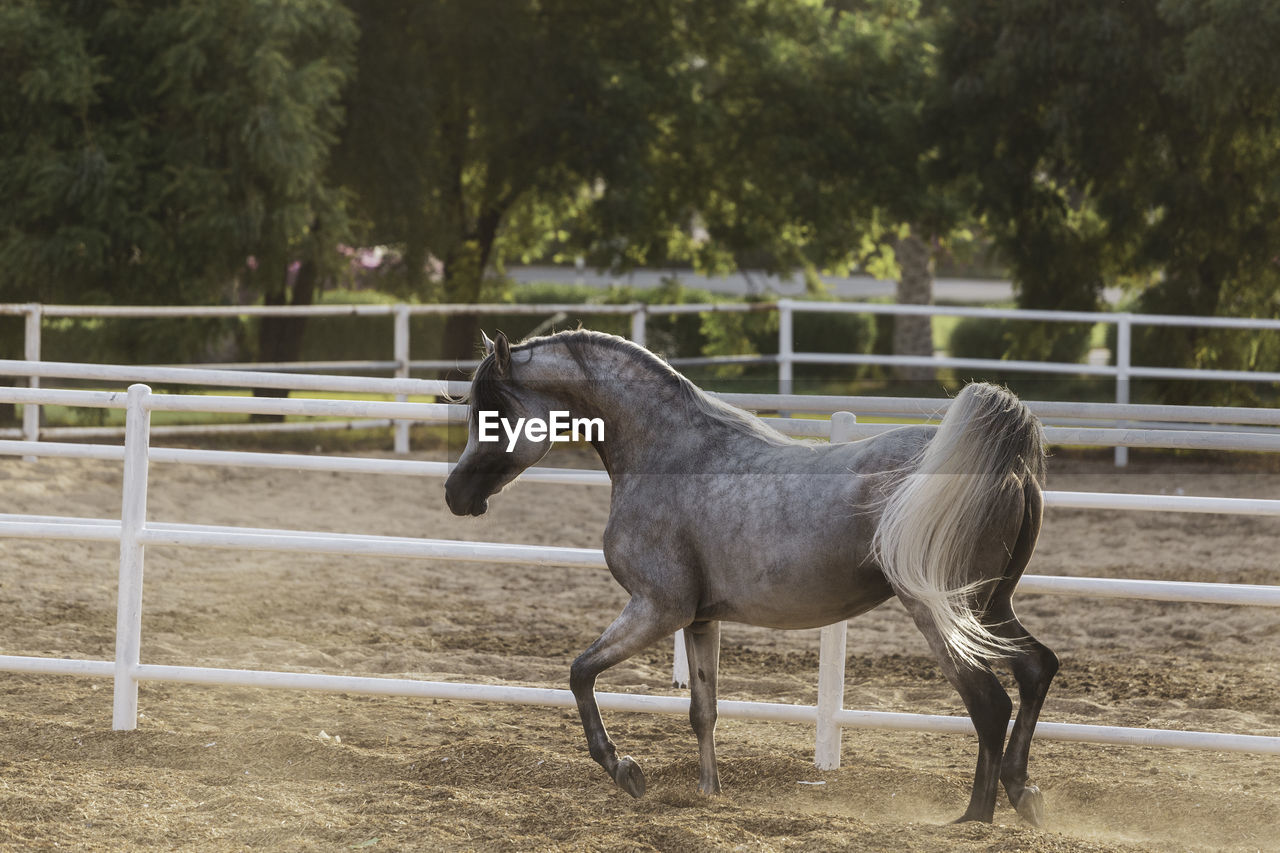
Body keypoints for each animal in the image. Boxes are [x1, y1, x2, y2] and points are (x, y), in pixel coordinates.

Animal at [442, 326, 1059, 824]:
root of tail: (1007, 467)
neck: (669, 456)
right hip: (987, 608)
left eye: (492, 412)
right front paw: (708, 793)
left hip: (939, 611)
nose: (454, 495)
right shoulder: (698, 620)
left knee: (989, 703)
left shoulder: (656, 608)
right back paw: (1023, 795)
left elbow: (580, 674)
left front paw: (626, 771)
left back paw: (975, 818)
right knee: (1037, 668)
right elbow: (703, 711)